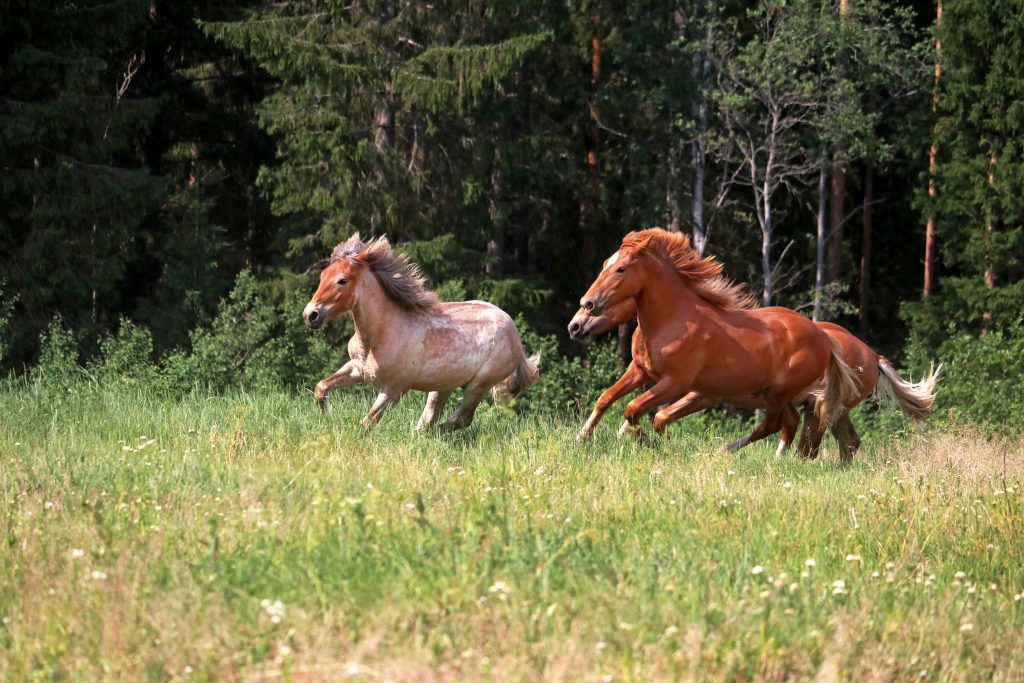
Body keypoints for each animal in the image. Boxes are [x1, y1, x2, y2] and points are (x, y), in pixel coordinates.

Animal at [303, 232, 540, 430]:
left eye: (342, 281)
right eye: (323, 276)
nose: (310, 315)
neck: (381, 334)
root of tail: (517, 340)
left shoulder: (393, 390)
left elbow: (366, 423)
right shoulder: (356, 369)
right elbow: (321, 388)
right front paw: (328, 420)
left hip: (479, 384)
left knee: (460, 419)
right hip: (443, 385)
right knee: (432, 417)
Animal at [565, 301, 937, 462]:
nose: (576, 325)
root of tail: (873, 356)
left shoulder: (702, 394)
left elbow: (659, 414)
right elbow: (650, 411)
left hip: (819, 407)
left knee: (807, 441)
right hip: (831, 410)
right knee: (844, 442)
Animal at [581, 229, 860, 454]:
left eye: (621, 268)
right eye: (605, 263)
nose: (587, 304)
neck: (672, 318)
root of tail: (823, 337)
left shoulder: (676, 382)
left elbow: (634, 409)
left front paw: (650, 443)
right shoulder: (640, 370)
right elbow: (607, 397)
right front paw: (582, 437)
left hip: (779, 393)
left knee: (772, 425)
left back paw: (724, 450)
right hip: (774, 394)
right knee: (788, 423)